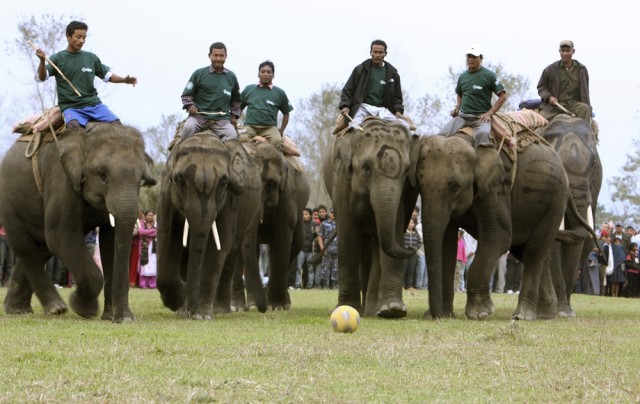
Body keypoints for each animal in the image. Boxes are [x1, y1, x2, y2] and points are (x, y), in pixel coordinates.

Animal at [0, 124, 156, 324]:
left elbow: (112, 241)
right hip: (8, 201)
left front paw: (112, 317)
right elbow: (60, 236)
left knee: (41, 247)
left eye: (141, 180)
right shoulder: (61, 180)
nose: (124, 319)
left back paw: (18, 309)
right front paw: (85, 309)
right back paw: (56, 308)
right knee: (26, 246)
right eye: (102, 175)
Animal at [155, 135, 264, 318]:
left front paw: (201, 316)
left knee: (231, 253)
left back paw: (220, 310)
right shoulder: (166, 194)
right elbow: (166, 237)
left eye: (224, 182)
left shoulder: (230, 200)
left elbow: (219, 245)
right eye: (179, 180)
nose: (190, 310)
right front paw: (179, 303)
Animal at [320, 120, 420, 318]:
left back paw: (373, 309)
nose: (413, 246)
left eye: (406, 171)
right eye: (366, 168)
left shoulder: (402, 193)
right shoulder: (342, 180)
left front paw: (393, 310)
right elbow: (349, 235)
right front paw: (347, 307)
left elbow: (393, 232)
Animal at [416, 134, 568, 320]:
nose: (434, 316)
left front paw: (479, 313)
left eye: (455, 187)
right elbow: (446, 243)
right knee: (528, 251)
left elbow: (498, 237)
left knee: (533, 251)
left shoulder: (496, 188)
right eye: (419, 185)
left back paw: (523, 316)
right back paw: (544, 314)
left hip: (556, 201)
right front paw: (444, 315)